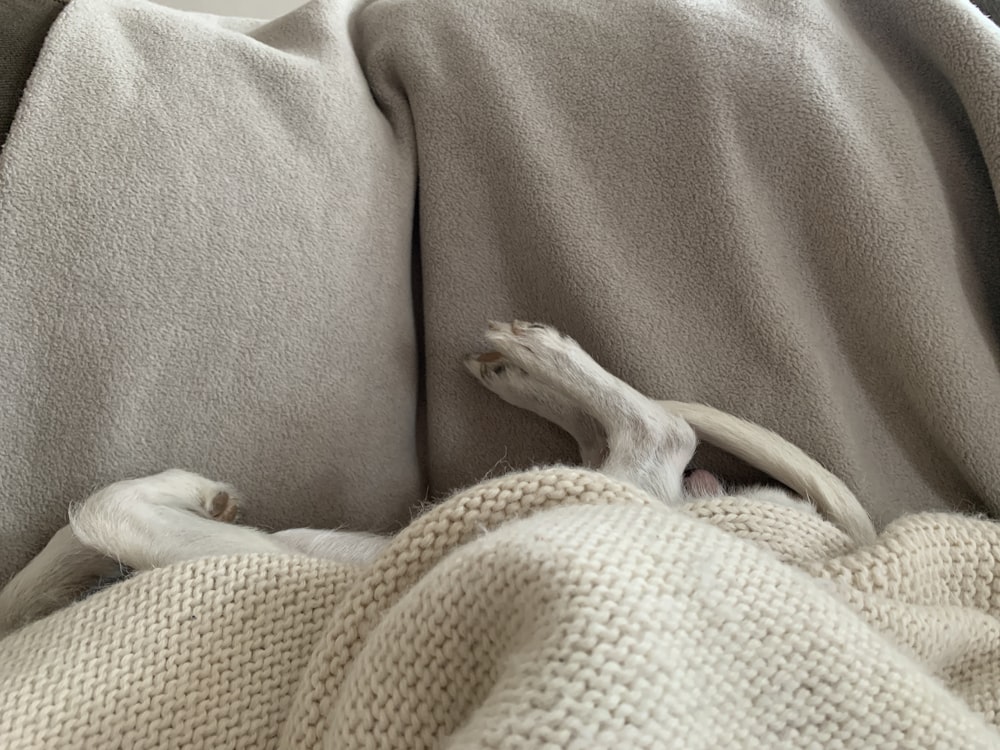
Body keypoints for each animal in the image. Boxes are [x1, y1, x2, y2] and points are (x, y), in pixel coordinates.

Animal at [0, 320, 876, 636]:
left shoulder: (240, 556)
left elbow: (100, 510)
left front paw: (198, 488)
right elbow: (63, 547)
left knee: (661, 430)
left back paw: (537, 359)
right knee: (627, 443)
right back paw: (526, 377)